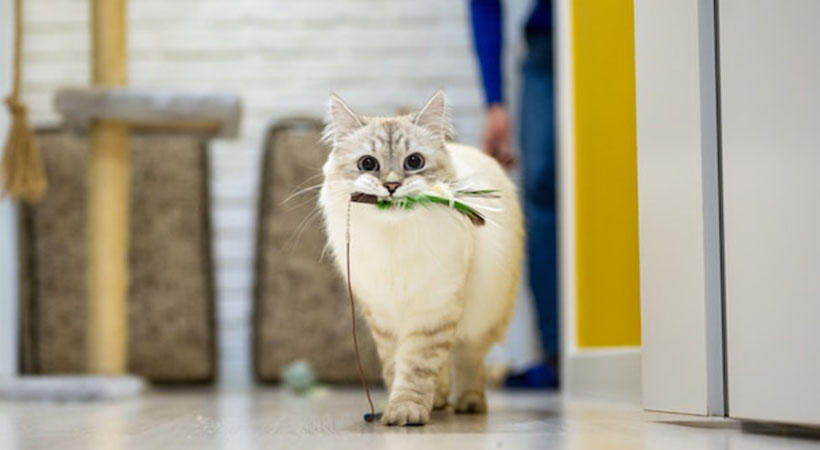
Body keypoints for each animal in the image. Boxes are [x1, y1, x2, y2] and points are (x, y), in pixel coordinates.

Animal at [318, 90, 524, 426]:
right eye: (368, 164)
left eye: (414, 162)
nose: (391, 185)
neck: (394, 238)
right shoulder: (384, 317)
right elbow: (395, 367)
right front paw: (398, 407)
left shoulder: (433, 310)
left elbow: (416, 368)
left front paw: (406, 411)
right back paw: (439, 401)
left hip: (483, 316)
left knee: (469, 360)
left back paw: (468, 403)